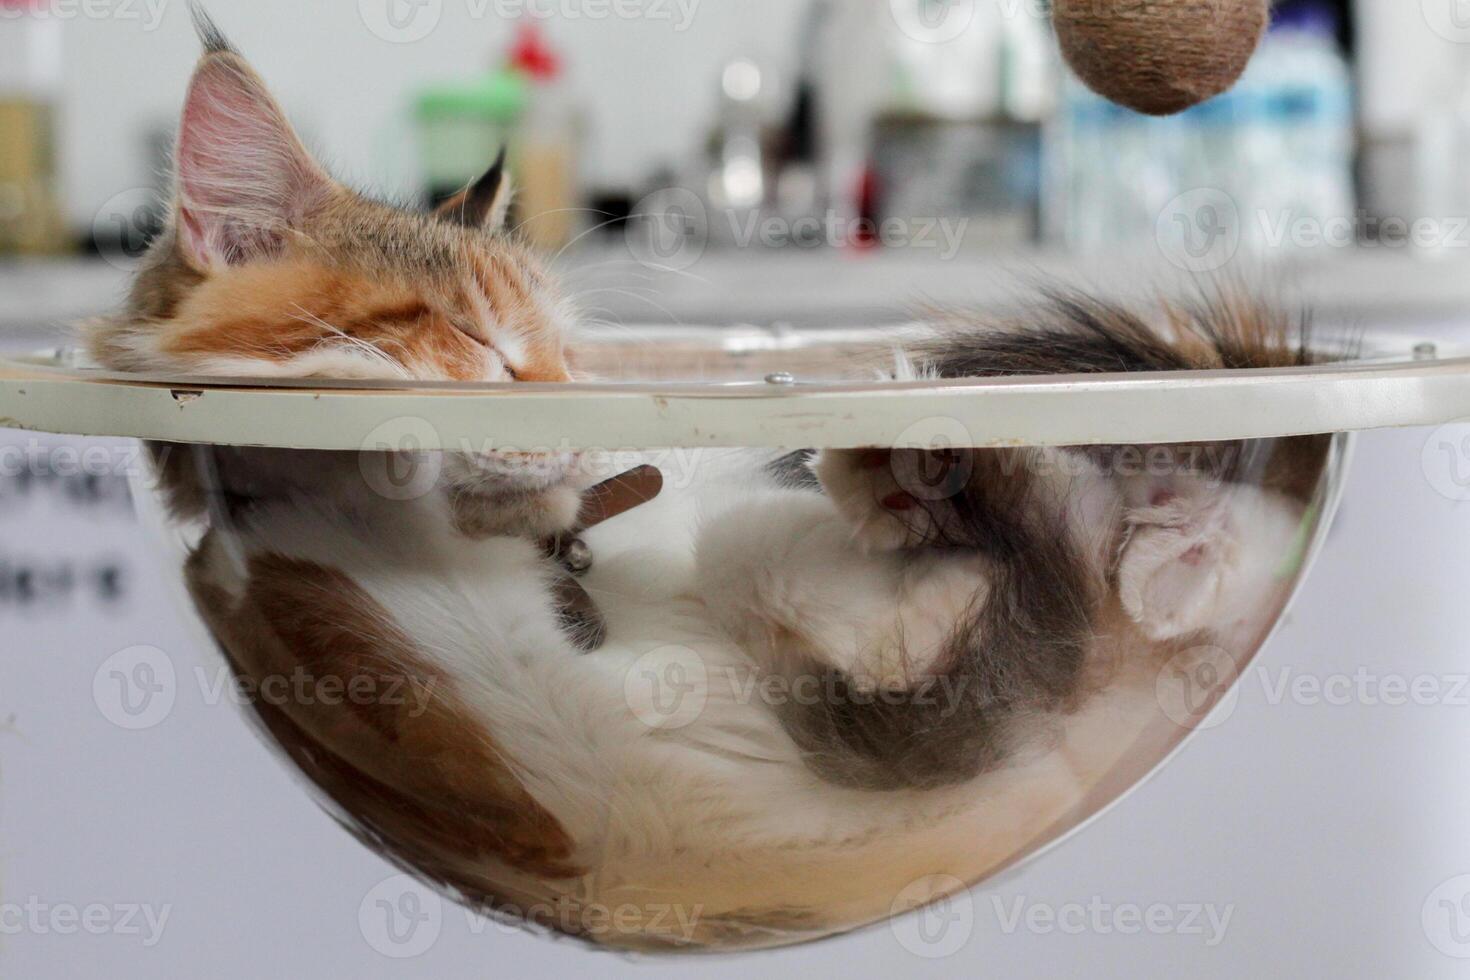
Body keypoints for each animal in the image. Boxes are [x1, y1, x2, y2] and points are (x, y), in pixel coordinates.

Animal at [88, 15, 1334, 952]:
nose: (573, 426)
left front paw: (911, 564)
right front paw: (927, 599)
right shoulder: (557, 788)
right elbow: (817, 590)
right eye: (478, 343)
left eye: (567, 355)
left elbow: (752, 543)